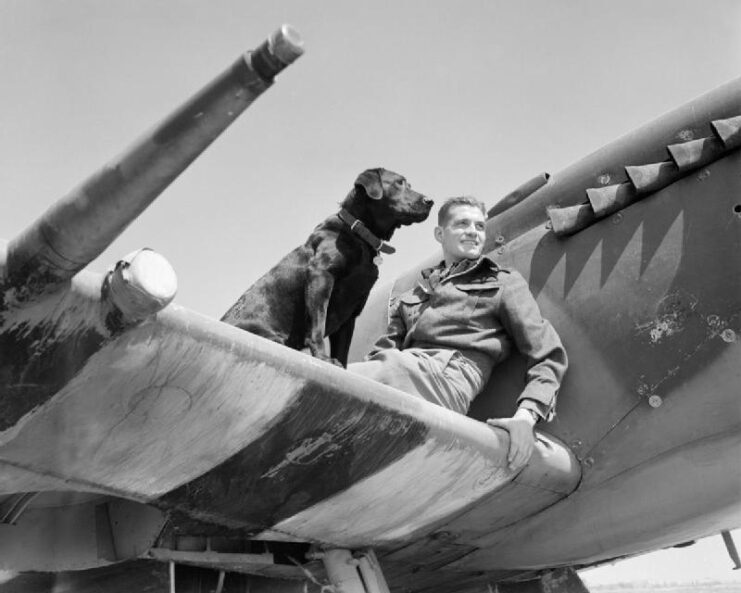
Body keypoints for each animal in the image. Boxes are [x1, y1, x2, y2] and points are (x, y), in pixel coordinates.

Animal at [220, 166, 434, 366]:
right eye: (399, 182)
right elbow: (318, 325)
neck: (358, 234)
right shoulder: (321, 276)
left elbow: (343, 350)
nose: (430, 201)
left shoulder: (352, 309)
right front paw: (323, 357)